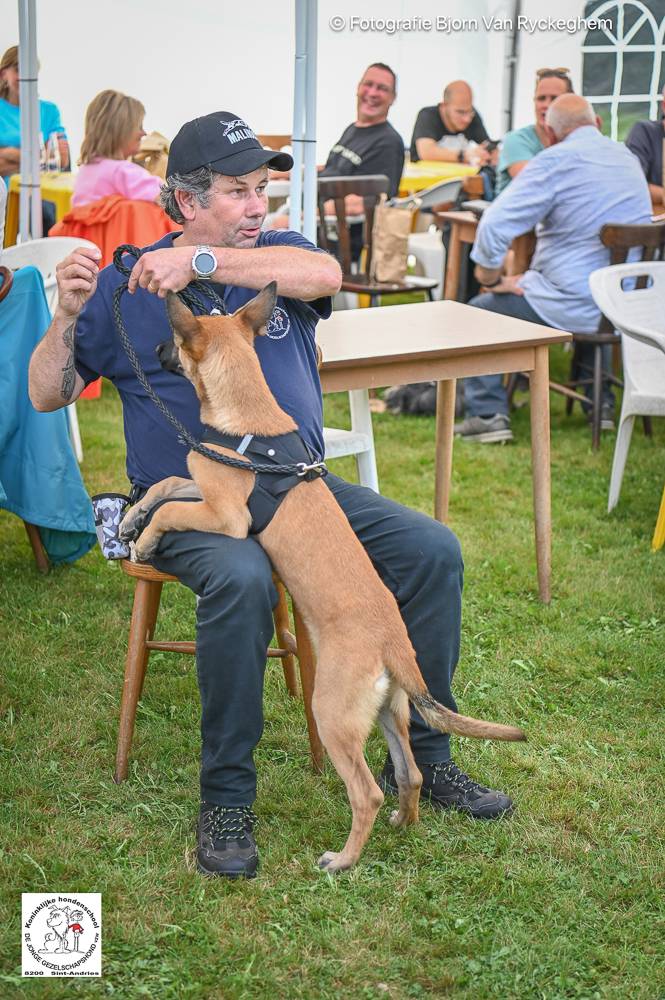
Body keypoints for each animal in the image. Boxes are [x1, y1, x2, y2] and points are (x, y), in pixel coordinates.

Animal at [119, 286, 524, 872]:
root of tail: (393, 642)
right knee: (410, 773)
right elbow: (168, 483)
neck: (250, 419)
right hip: (388, 712)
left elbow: (172, 507)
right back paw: (404, 824)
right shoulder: (207, 487)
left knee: (367, 792)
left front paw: (146, 537)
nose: (151, 348)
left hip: (332, 713)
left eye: (175, 336)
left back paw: (344, 861)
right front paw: (132, 517)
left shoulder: (228, 516)